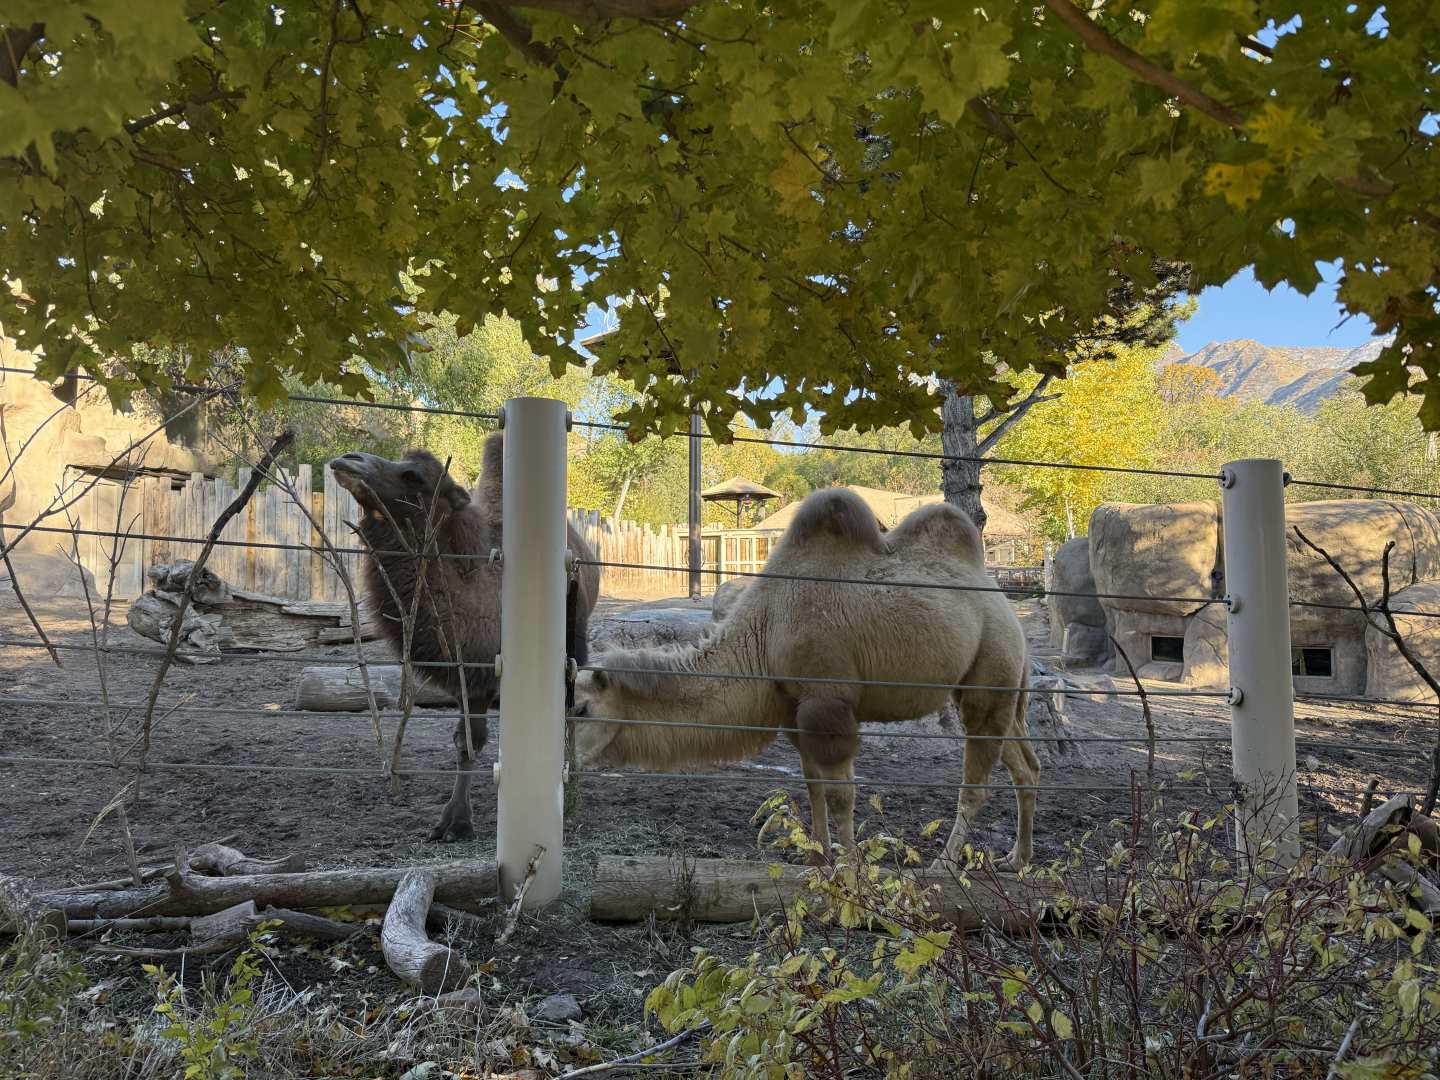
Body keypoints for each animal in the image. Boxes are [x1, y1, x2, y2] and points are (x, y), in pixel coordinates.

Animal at [574, 487, 1039, 870]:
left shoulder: (826, 700)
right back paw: (1016, 859)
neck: (763, 632)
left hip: (991, 667)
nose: (570, 761)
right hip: (994, 687)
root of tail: (1004, 603)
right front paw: (816, 854)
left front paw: (850, 866)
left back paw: (944, 864)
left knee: (977, 782)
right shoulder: (793, 705)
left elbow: (840, 792)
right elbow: (812, 783)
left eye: (580, 708)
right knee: (1024, 764)